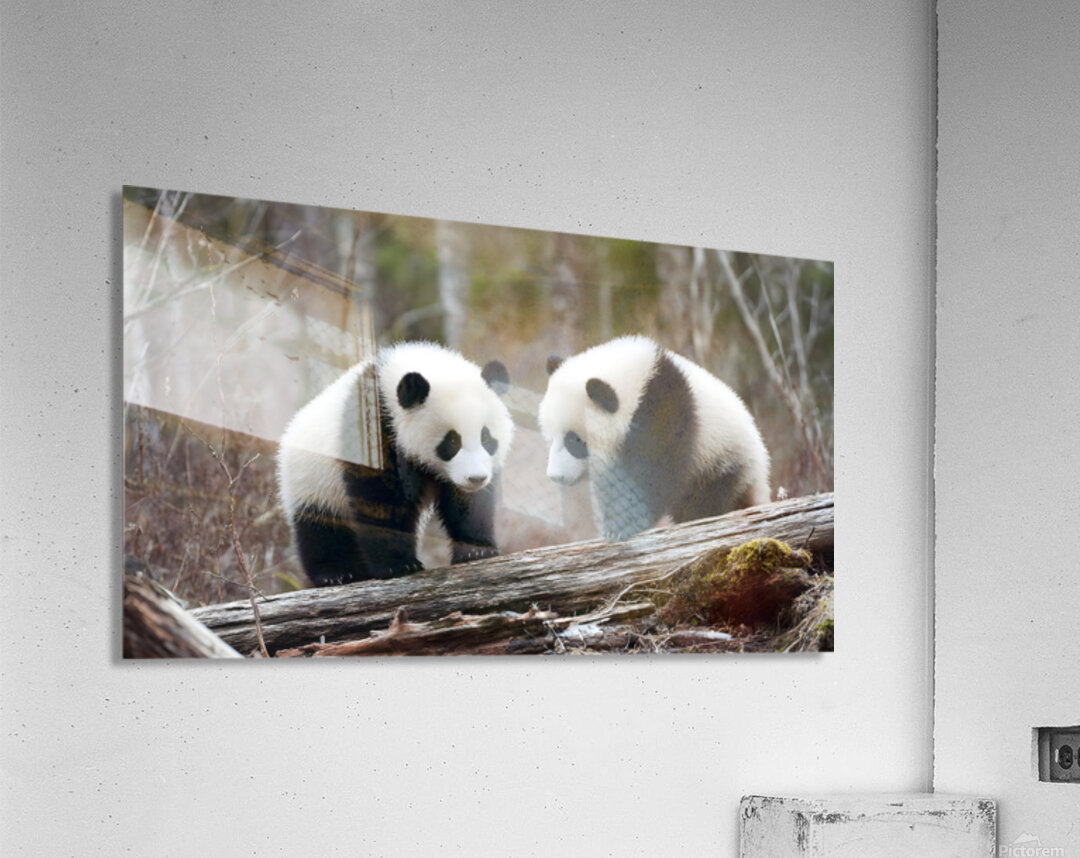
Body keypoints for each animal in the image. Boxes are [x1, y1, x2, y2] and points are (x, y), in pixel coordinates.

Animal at [277, 342, 514, 586]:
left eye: (486, 438)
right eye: (451, 442)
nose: (476, 478)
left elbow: (468, 504)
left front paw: (476, 550)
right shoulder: (375, 430)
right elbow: (379, 498)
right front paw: (398, 565)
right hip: (312, 479)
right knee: (320, 527)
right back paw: (337, 574)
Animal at [538, 335, 770, 540]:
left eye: (573, 442)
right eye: (550, 438)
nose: (555, 476)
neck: (639, 382)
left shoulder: (664, 411)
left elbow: (654, 472)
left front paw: (621, 526)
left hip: (722, 458)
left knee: (708, 497)